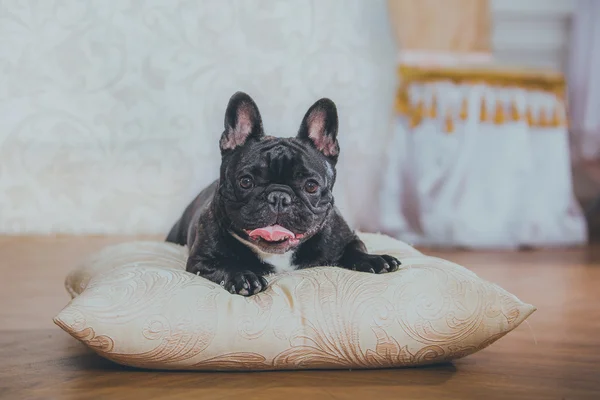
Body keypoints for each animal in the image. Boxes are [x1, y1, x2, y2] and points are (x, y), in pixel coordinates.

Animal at [165, 92, 398, 296]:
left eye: (311, 186)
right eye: (246, 182)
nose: (279, 197)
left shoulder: (346, 237)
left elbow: (355, 248)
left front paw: (374, 259)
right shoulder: (203, 261)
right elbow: (226, 265)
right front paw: (243, 276)